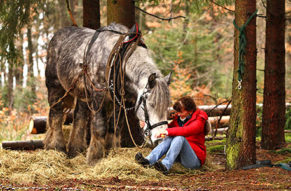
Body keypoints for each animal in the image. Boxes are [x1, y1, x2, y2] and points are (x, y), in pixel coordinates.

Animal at [43, 23, 171, 165]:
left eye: (167, 107)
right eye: (151, 104)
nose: (160, 138)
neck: (120, 60)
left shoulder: (121, 101)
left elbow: (115, 126)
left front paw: (112, 151)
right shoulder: (98, 96)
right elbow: (100, 127)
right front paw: (95, 157)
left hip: (83, 93)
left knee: (79, 117)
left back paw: (75, 150)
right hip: (55, 85)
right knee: (56, 114)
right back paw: (56, 147)